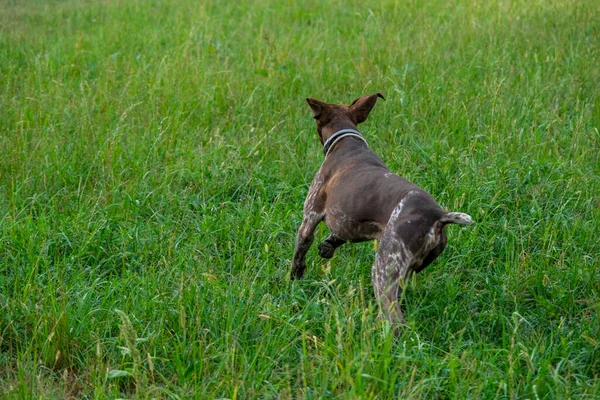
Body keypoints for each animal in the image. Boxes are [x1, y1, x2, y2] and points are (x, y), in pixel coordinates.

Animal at [290, 92, 474, 332]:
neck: (347, 143)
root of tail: (437, 215)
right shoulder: (351, 224)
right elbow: (337, 237)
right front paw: (327, 247)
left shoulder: (310, 218)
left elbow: (299, 254)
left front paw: (294, 280)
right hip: (404, 274)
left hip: (383, 270)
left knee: (394, 320)